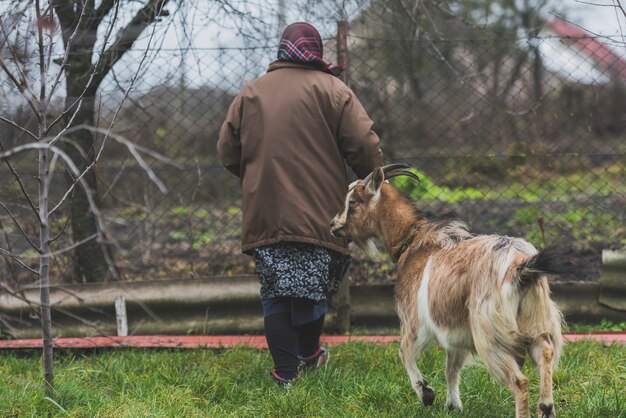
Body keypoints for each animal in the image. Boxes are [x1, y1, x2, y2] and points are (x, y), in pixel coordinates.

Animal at [330, 165, 564, 416]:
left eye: (353, 201)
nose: (333, 226)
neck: (411, 242)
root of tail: (520, 268)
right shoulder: (456, 330)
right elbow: (451, 368)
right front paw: (453, 405)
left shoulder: (414, 320)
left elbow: (404, 351)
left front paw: (426, 393)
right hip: (536, 323)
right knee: (546, 353)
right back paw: (546, 407)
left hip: (490, 335)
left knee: (519, 382)